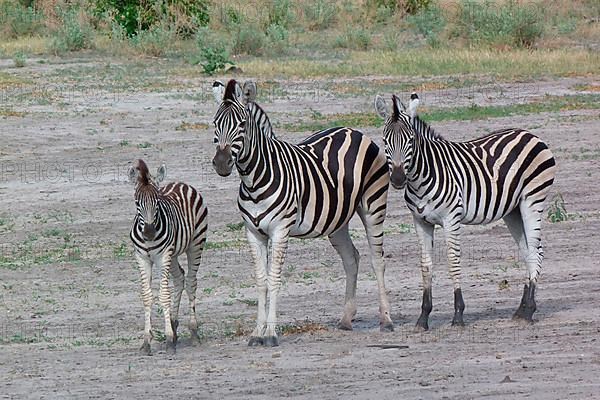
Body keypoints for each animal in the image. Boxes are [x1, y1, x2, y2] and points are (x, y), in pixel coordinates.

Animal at [129, 158, 209, 354]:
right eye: (137, 202)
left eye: (157, 201)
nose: (149, 232)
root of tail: (181, 183)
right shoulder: (142, 258)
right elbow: (146, 295)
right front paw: (147, 341)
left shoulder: (163, 256)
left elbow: (164, 294)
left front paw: (167, 339)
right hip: (172, 255)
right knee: (179, 278)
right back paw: (174, 324)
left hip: (195, 244)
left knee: (191, 282)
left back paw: (193, 332)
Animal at [211, 79, 394, 346]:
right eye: (215, 124)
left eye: (241, 125)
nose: (221, 163)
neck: (254, 179)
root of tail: (353, 131)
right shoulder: (253, 233)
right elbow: (261, 280)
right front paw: (257, 333)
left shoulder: (280, 230)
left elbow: (274, 278)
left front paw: (271, 334)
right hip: (336, 219)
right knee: (352, 258)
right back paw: (346, 319)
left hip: (373, 206)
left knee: (377, 260)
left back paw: (386, 320)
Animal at [376, 94, 556, 332]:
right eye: (385, 141)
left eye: (411, 141)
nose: (397, 179)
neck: (421, 178)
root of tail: (530, 134)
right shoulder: (420, 221)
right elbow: (426, 265)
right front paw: (423, 318)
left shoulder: (451, 218)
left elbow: (453, 261)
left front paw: (458, 314)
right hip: (512, 210)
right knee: (528, 251)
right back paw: (521, 309)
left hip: (532, 200)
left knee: (536, 251)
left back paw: (529, 312)